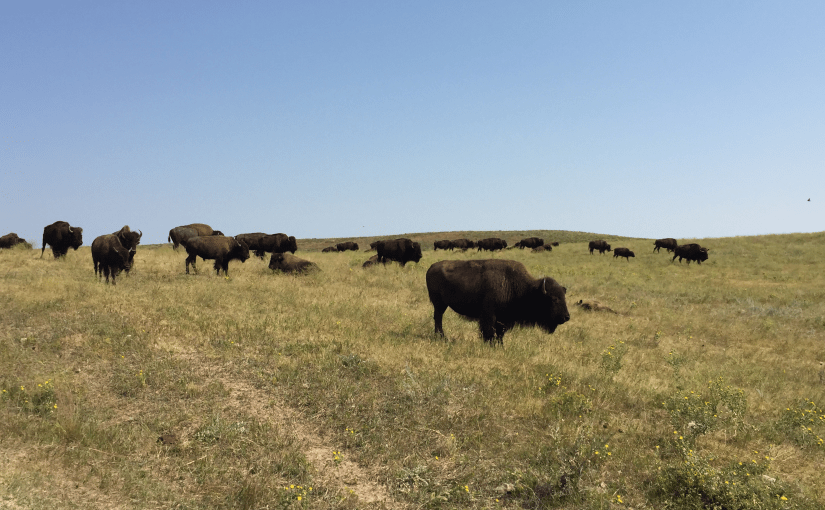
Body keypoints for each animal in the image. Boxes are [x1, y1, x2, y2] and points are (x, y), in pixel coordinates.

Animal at [426, 259, 570, 345]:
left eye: (564, 297)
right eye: (554, 299)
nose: (566, 317)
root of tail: (431, 267)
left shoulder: (504, 318)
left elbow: (500, 333)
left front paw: (500, 345)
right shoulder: (489, 315)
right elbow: (489, 330)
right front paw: (490, 344)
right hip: (439, 304)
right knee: (438, 318)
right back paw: (442, 337)